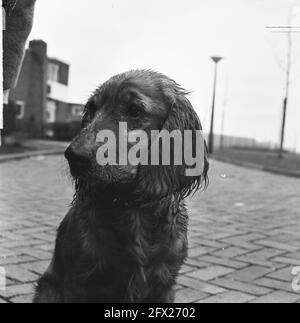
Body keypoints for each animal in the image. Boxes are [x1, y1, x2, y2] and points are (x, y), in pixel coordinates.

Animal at [34, 70, 209, 304]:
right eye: (91, 108)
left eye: (134, 110)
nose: (74, 156)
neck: (133, 208)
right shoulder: (79, 282)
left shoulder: (164, 284)